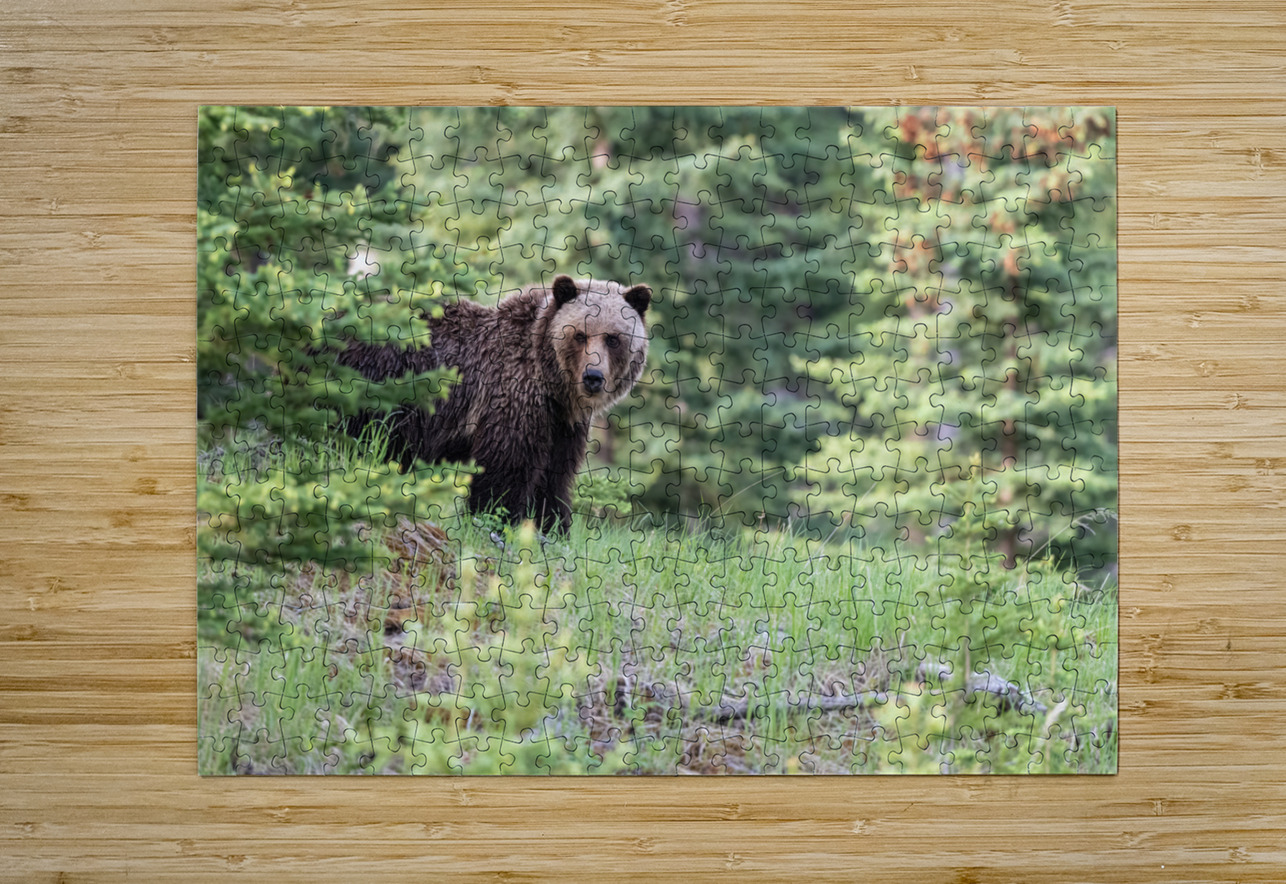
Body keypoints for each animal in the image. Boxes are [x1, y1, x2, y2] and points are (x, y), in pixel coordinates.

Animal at [338, 275, 652, 534]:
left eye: (613, 338)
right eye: (579, 334)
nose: (593, 377)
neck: (552, 385)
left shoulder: (561, 424)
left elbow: (554, 477)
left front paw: (553, 527)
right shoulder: (512, 395)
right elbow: (507, 468)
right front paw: (496, 520)